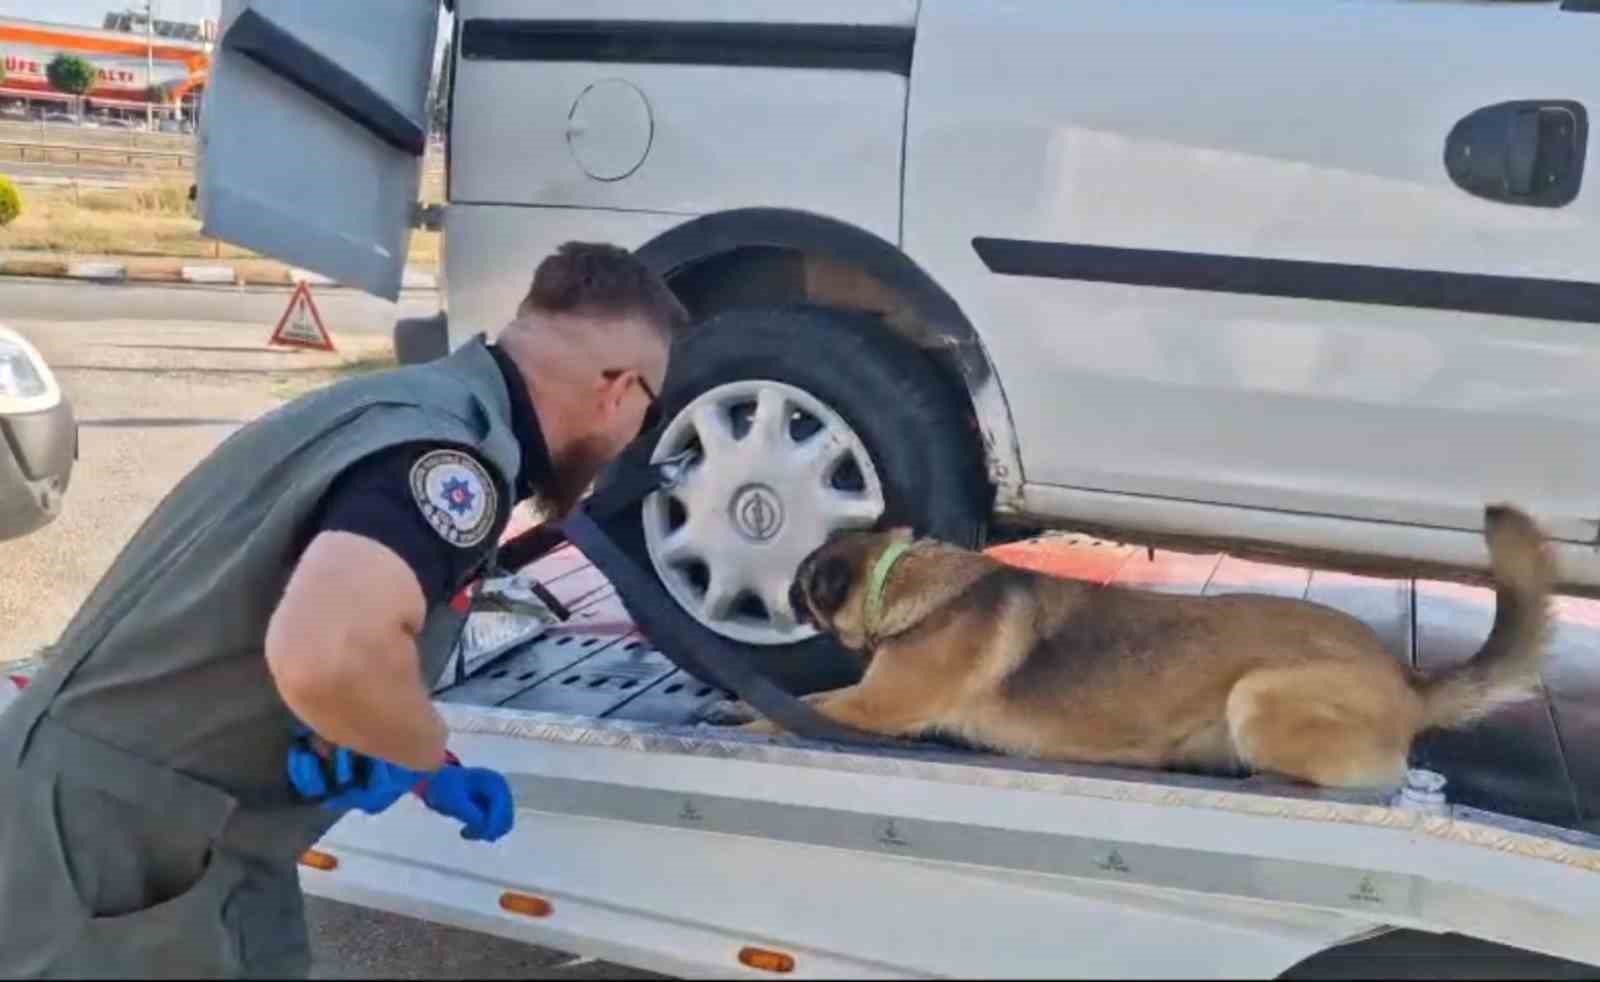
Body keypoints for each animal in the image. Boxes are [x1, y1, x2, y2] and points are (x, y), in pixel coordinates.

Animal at [726, 508, 1548, 793]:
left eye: (801, 582)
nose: (770, 596)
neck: (905, 580)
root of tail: (1407, 678)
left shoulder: (876, 706)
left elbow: (799, 705)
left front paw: (744, 714)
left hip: (1259, 695)